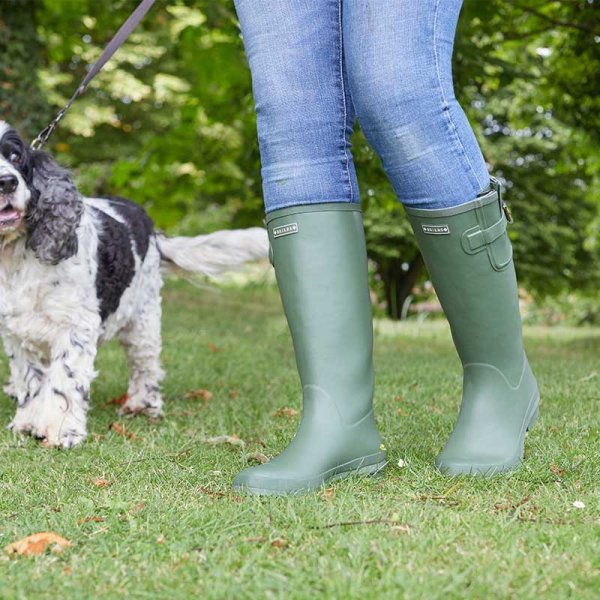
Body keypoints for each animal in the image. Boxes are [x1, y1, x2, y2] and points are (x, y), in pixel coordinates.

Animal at [0, 122, 268, 448]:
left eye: (16, 156)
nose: (6, 183)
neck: (15, 257)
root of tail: (152, 229)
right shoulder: (16, 332)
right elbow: (31, 380)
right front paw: (26, 422)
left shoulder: (75, 327)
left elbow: (65, 380)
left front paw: (61, 431)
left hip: (143, 319)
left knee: (146, 365)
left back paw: (143, 405)